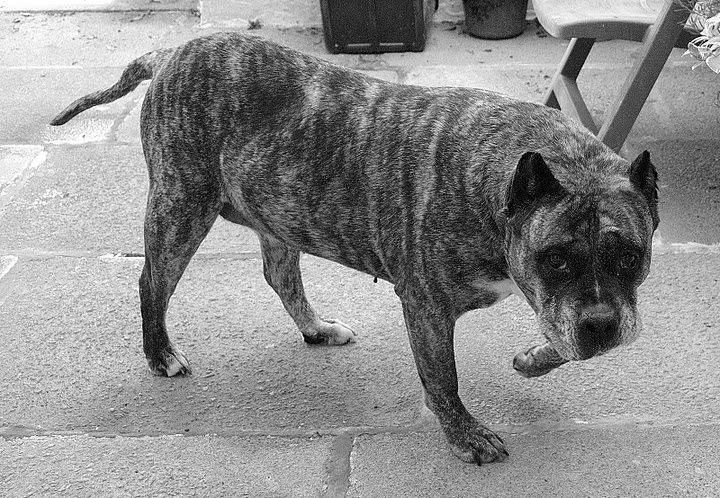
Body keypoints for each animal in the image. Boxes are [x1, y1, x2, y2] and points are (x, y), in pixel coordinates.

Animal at [49, 33, 660, 464]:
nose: (602, 326)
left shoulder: (562, 305)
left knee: (280, 275)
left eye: (630, 257)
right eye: (554, 258)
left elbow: (561, 336)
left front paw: (533, 358)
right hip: (180, 208)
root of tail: (170, 53)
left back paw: (315, 328)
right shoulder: (428, 308)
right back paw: (160, 354)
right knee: (152, 281)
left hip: (277, 214)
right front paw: (466, 435)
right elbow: (444, 379)